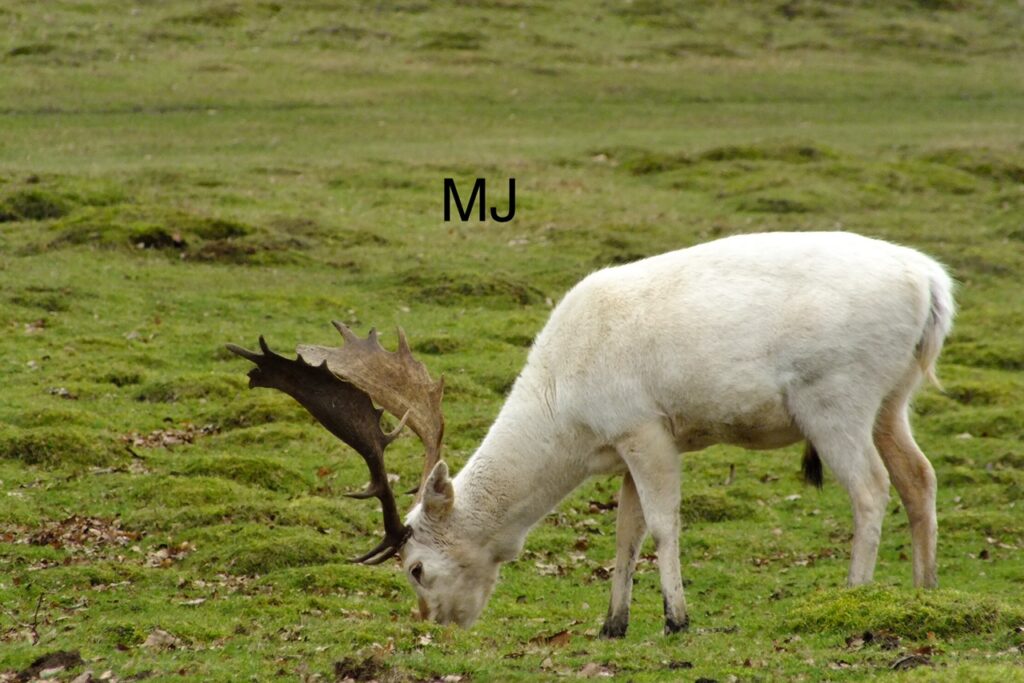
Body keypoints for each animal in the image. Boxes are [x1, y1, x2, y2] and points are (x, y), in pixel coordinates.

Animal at [227, 231, 954, 637]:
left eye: (415, 567)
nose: (433, 626)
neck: (569, 420)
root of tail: (934, 284)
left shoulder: (645, 426)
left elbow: (661, 524)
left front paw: (677, 619)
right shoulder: (623, 449)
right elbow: (624, 533)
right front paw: (612, 623)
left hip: (836, 395)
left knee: (871, 487)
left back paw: (853, 594)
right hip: (893, 397)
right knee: (920, 476)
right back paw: (923, 593)